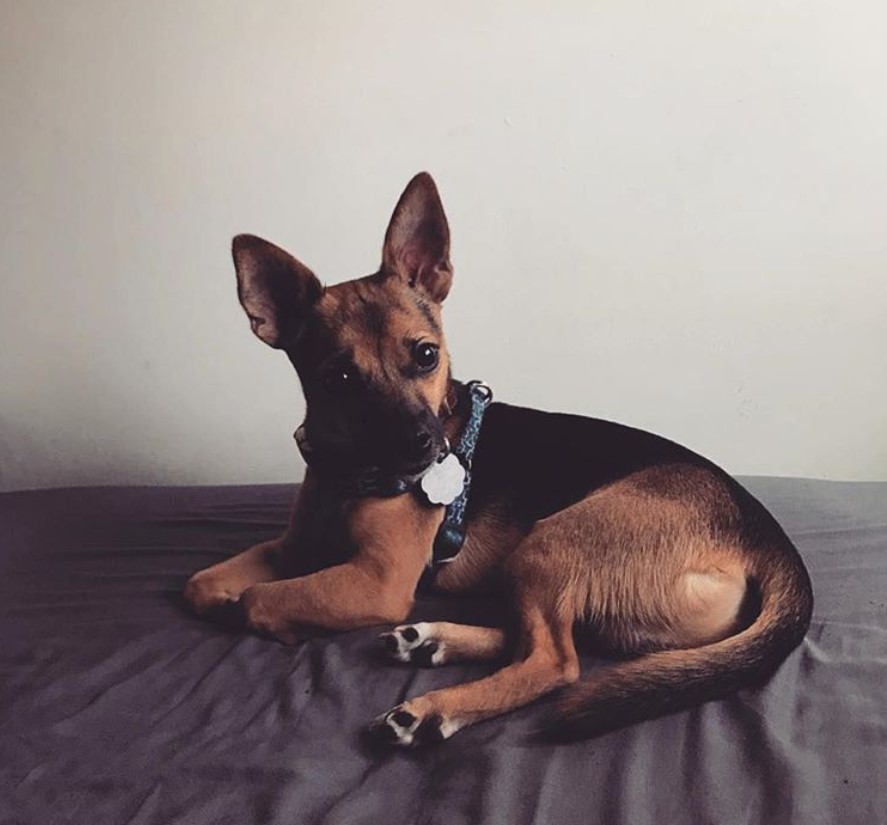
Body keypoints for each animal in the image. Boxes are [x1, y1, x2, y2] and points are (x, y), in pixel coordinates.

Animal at [184, 174, 816, 748]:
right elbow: (201, 583)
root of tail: (767, 536)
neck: (346, 475)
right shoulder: (297, 548)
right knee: (541, 641)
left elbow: (259, 599)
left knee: (554, 661)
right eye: (338, 379)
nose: (424, 446)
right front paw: (222, 597)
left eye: (426, 355)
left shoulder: (377, 580)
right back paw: (430, 641)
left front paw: (261, 615)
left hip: (548, 544)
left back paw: (432, 708)